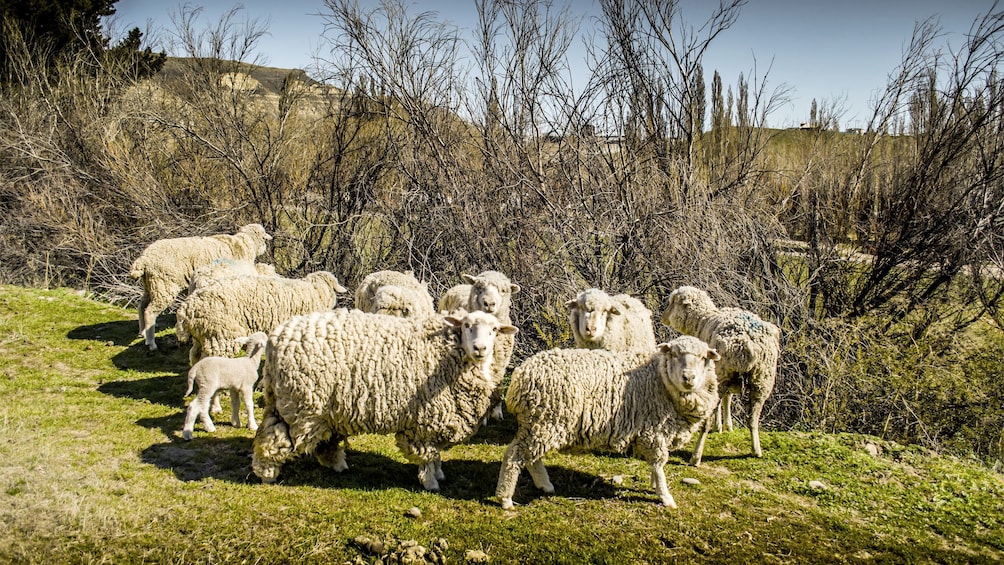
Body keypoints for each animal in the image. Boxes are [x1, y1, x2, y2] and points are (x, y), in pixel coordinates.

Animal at [127, 224, 273, 349]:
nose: (269, 240)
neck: (243, 244)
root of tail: (143, 260)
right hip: (164, 285)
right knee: (150, 311)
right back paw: (151, 343)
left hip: (151, 285)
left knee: (141, 306)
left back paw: (142, 332)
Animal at [249, 309, 518, 491]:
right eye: (466, 325)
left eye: (494, 330)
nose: (480, 348)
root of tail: (277, 337)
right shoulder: (424, 421)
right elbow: (428, 455)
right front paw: (431, 482)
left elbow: (436, 454)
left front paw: (439, 473)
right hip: (301, 405)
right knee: (273, 438)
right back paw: (267, 474)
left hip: (317, 407)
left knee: (321, 439)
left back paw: (336, 464)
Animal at [495, 333, 718, 509]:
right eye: (673, 355)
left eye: (702, 357)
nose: (688, 377)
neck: (660, 378)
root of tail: (520, 376)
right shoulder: (653, 432)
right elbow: (658, 464)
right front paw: (665, 496)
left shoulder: (660, 433)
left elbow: (657, 467)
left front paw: (654, 484)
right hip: (545, 420)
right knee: (514, 455)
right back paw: (505, 498)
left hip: (540, 423)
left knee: (531, 457)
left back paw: (545, 485)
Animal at [658, 287, 783, 463]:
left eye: (672, 302)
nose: (663, 317)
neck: (702, 319)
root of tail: (750, 345)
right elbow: (728, 398)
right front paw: (726, 426)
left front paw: (719, 425)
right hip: (762, 380)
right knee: (752, 419)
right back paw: (756, 450)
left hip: (724, 374)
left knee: (706, 422)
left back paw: (696, 457)